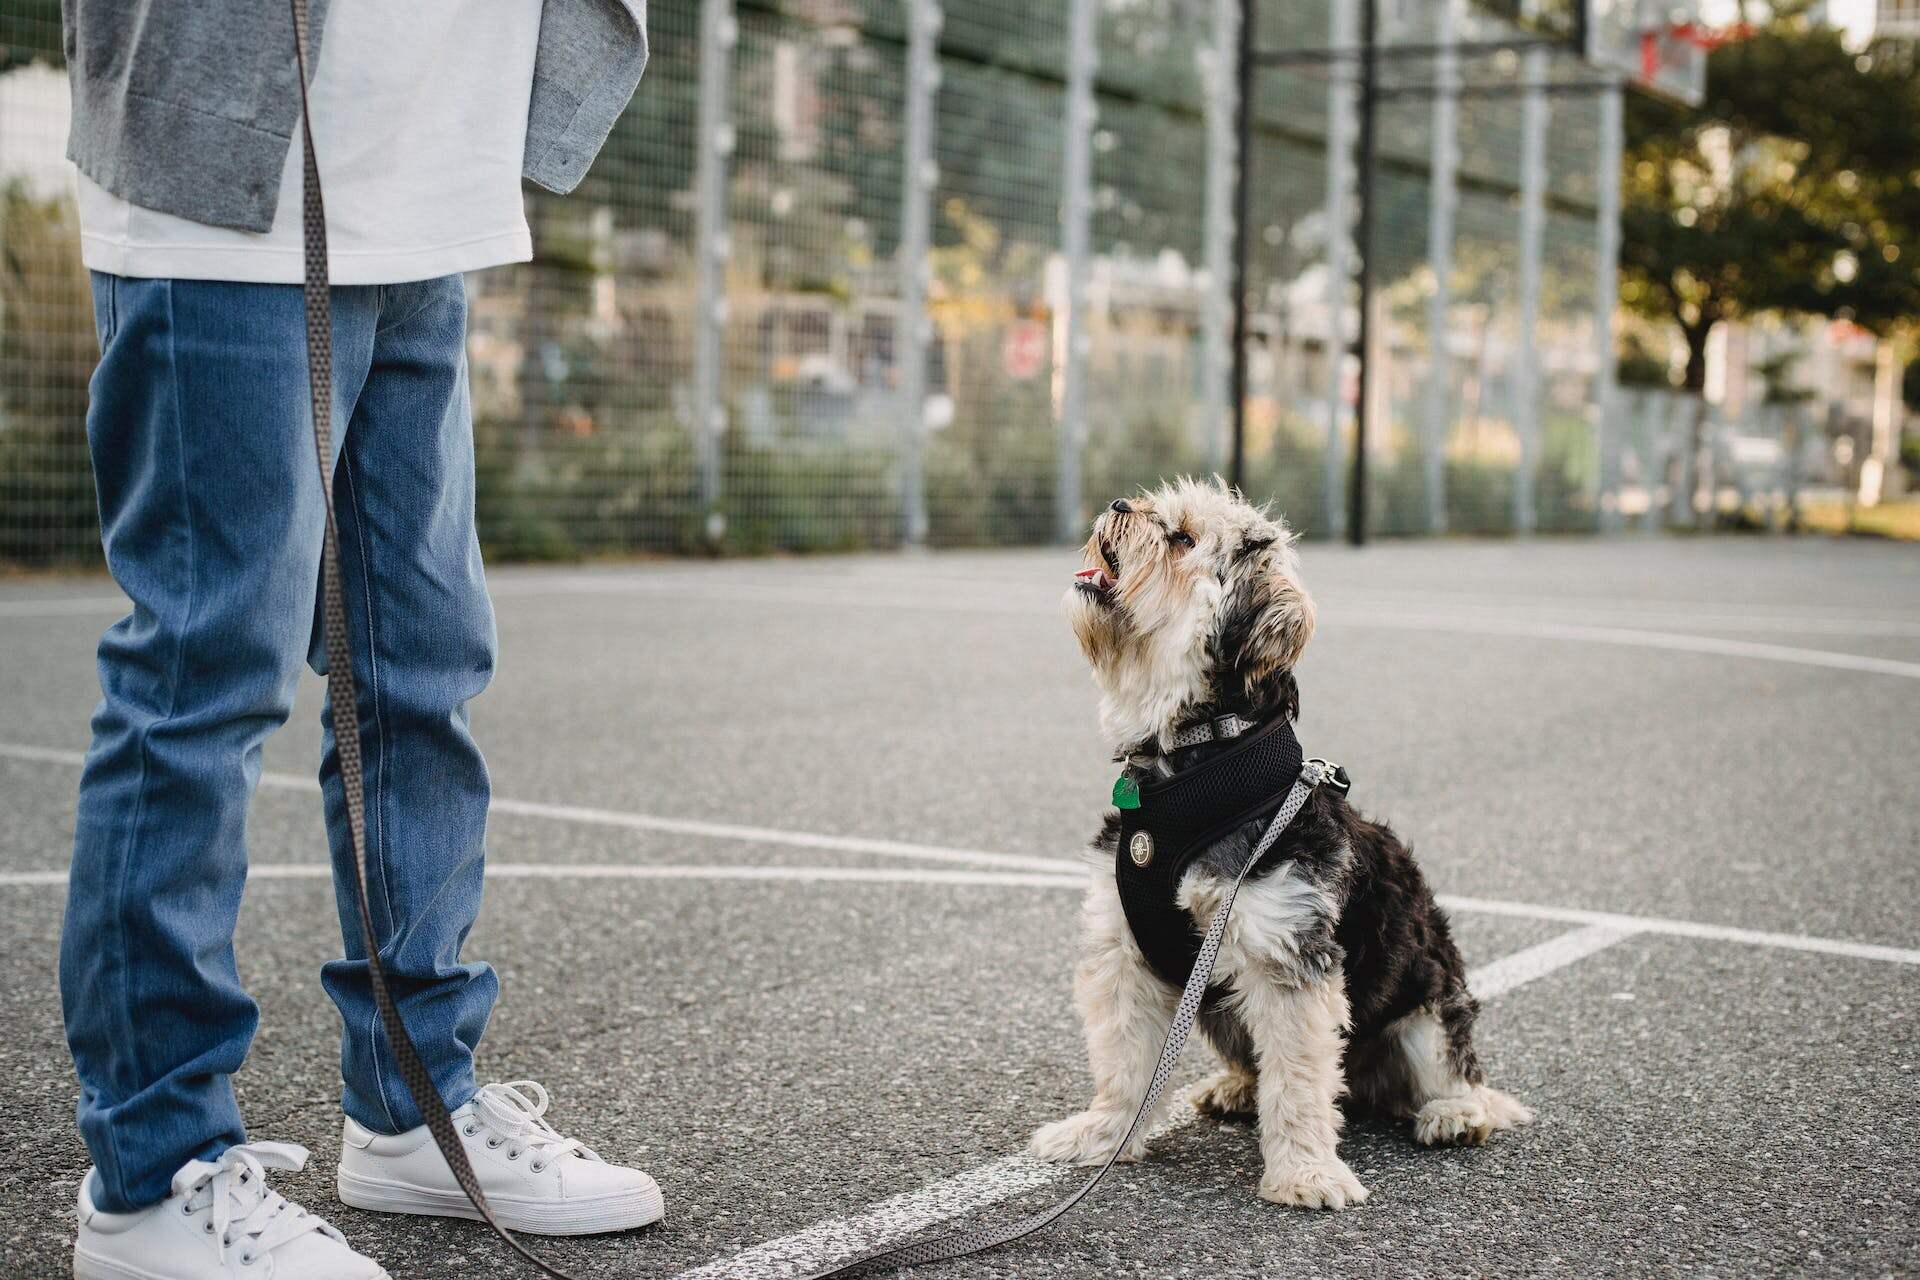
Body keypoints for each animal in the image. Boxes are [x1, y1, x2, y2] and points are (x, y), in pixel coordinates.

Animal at [1036, 475, 1528, 1205]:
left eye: (1182, 539)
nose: (1119, 507)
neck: (1196, 774)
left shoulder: (1288, 956)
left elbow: (1299, 1080)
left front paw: (1305, 1172)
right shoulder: (1125, 955)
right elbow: (1124, 1062)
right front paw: (1104, 1135)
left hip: (1429, 1004)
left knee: (1450, 1068)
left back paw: (1455, 1114)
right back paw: (1237, 1087)